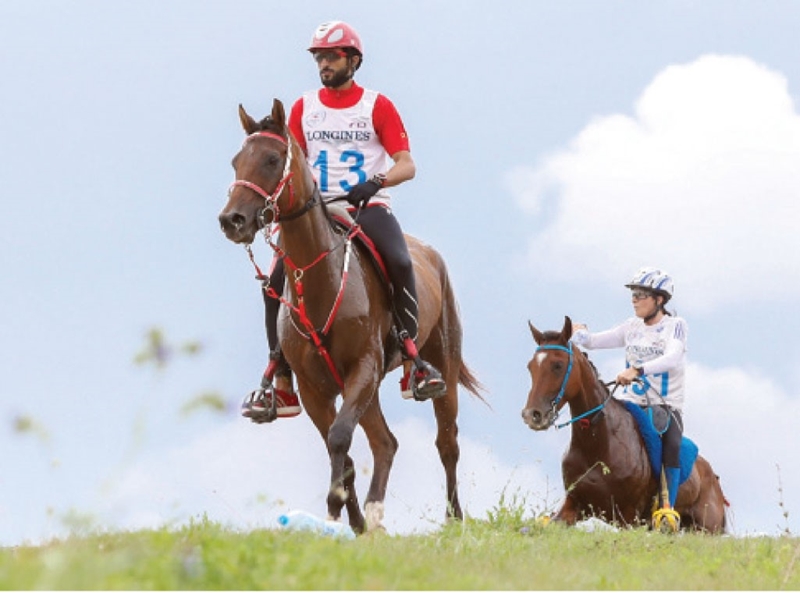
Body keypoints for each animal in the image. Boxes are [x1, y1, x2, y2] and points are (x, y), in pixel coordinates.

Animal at [217, 99, 482, 536]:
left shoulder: (364, 367)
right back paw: (373, 517)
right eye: (237, 161)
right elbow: (340, 448)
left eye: (272, 159)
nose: (232, 220)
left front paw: (335, 510)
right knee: (385, 442)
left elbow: (340, 437)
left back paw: (454, 519)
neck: (319, 277)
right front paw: (349, 519)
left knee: (447, 443)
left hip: (439, 363)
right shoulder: (314, 387)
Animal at [520, 314, 728, 532]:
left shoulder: (629, 518)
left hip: (707, 529)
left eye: (558, 365)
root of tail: (713, 477)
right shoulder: (573, 505)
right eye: (530, 366)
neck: (597, 444)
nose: (532, 415)